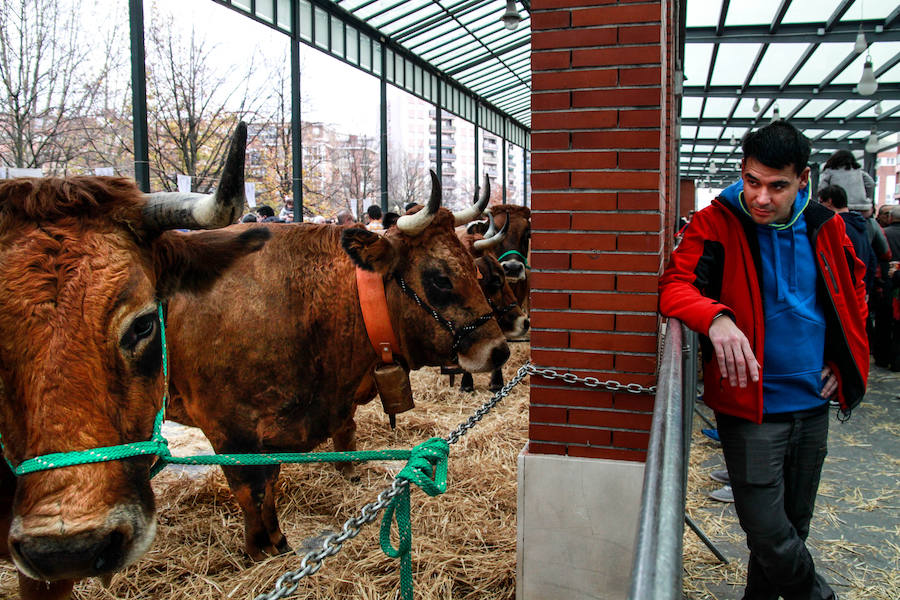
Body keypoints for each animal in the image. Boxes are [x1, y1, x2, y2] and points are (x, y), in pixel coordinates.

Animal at [164, 171, 510, 560]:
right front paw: (259, 549)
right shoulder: (230, 431)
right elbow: (253, 489)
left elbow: (274, 480)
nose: (499, 350)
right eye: (440, 278)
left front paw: (278, 541)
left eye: (475, 273)